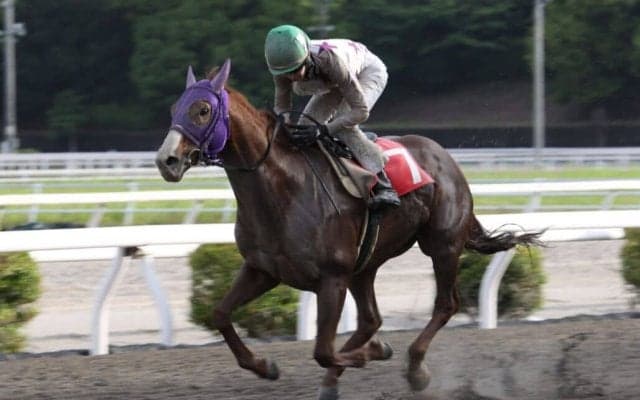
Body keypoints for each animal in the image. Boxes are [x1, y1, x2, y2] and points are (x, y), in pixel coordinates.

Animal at [155, 59, 541, 399]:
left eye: (203, 110)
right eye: (174, 108)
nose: (166, 160)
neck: (282, 190)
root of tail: (444, 157)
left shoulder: (332, 278)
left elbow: (323, 350)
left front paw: (376, 353)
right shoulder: (262, 270)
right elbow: (220, 314)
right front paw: (265, 366)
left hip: (441, 245)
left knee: (445, 304)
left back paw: (414, 368)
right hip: (364, 266)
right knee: (371, 319)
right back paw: (344, 374)